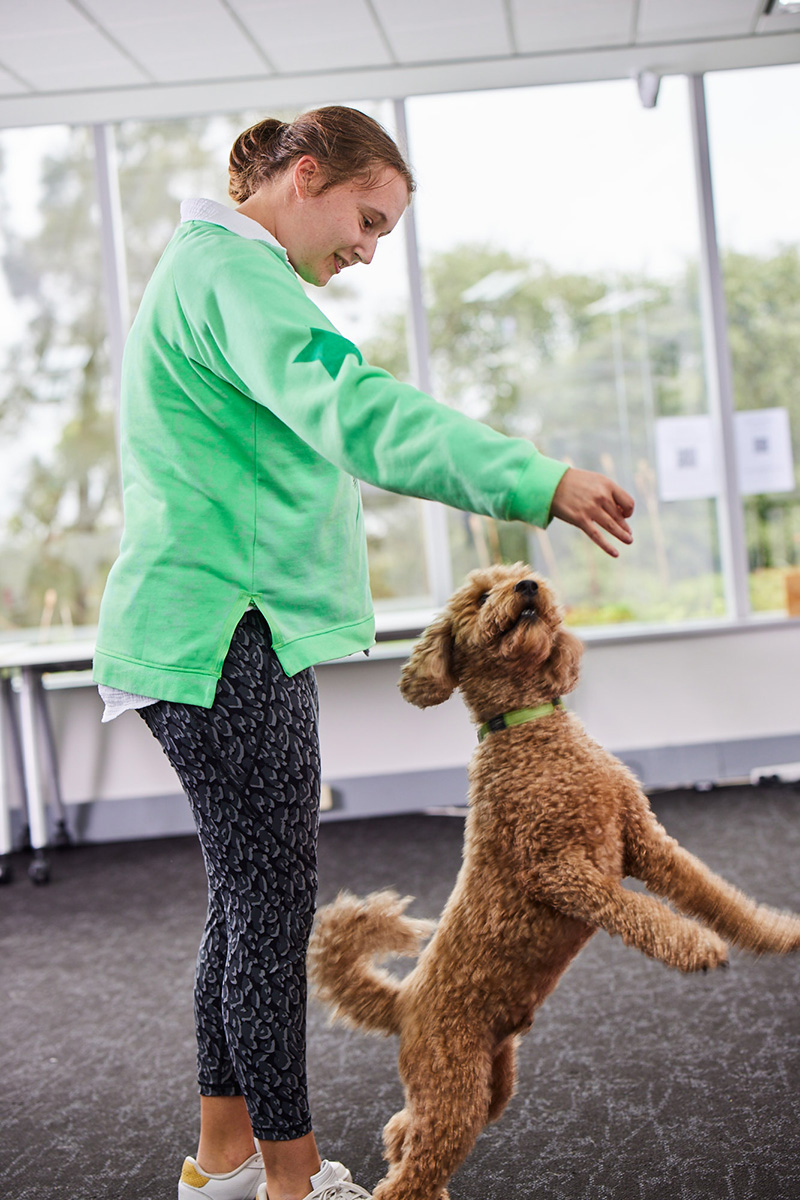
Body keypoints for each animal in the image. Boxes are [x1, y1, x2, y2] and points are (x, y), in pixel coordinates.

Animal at [309, 561, 800, 1200]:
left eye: (518, 576)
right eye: (480, 597)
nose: (527, 588)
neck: (531, 728)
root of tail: (405, 1001)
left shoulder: (645, 842)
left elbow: (716, 895)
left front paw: (777, 932)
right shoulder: (559, 871)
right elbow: (636, 911)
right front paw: (694, 947)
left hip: (486, 1086)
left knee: (404, 1132)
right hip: (454, 1088)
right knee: (407, 1175)